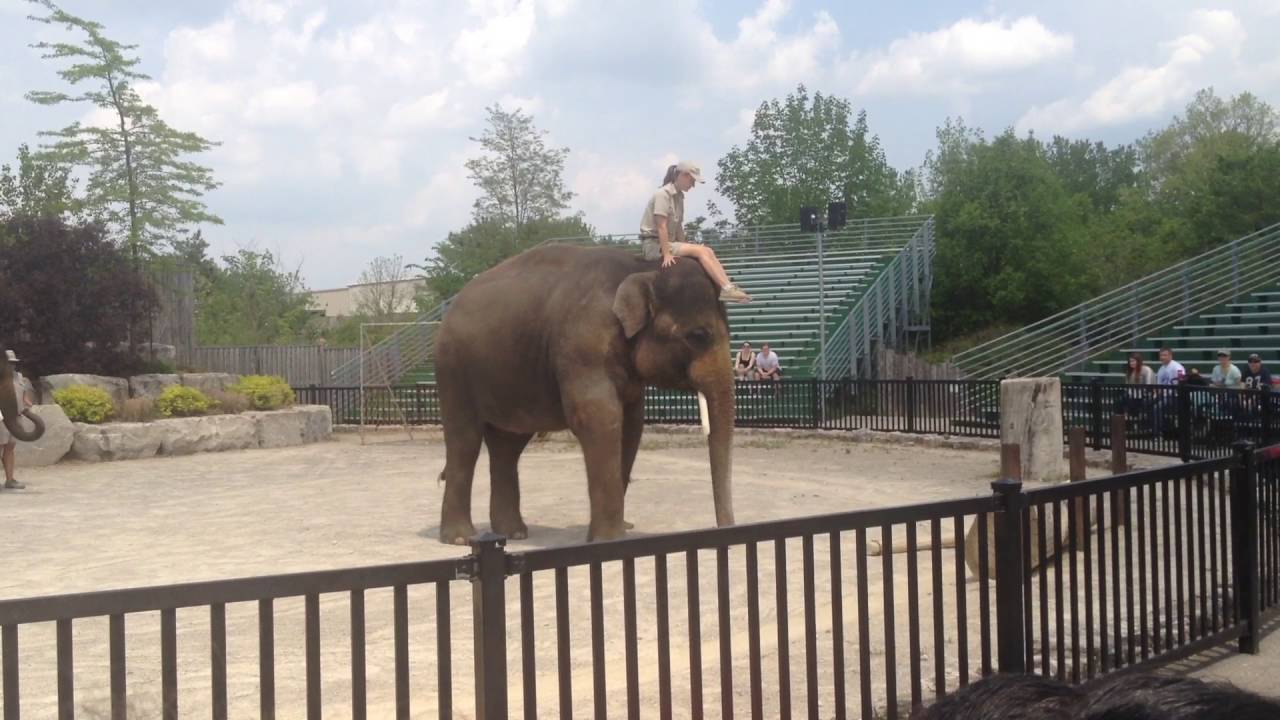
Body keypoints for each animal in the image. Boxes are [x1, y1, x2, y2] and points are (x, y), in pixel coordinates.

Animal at [440, 243, 737, 540]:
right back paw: (461, 537)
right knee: (464, 441)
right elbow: (599, 418)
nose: (725, 531)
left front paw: (611, 533)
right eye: (698, 336)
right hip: (454, 372)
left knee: (507, 446)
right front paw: (610, 540)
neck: (641, 267)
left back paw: (514, 534)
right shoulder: (584, 345)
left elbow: (631, 425)